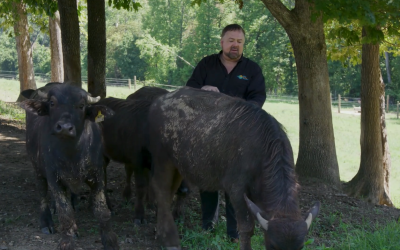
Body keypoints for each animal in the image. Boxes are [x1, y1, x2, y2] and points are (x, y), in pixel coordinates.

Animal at [20, 84, 117, 250]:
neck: (72, 154)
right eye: (52, 103)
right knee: (42, 194)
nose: (65, 128)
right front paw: (66, 242)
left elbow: (102, 210)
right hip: (37, 169)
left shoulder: (97, 175)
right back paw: (46, 222)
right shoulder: (54, 179)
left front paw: (110, 240)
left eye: (81, 105)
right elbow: (65, 213)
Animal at [148, 87, 320, 250]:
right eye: (273, 246)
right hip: (162, 159)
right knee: (161, 190)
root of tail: (158, 102)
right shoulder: (236, 191)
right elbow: (246, 228)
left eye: (301, 247)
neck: (262, 150)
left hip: (177, 165)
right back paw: (167, 237)